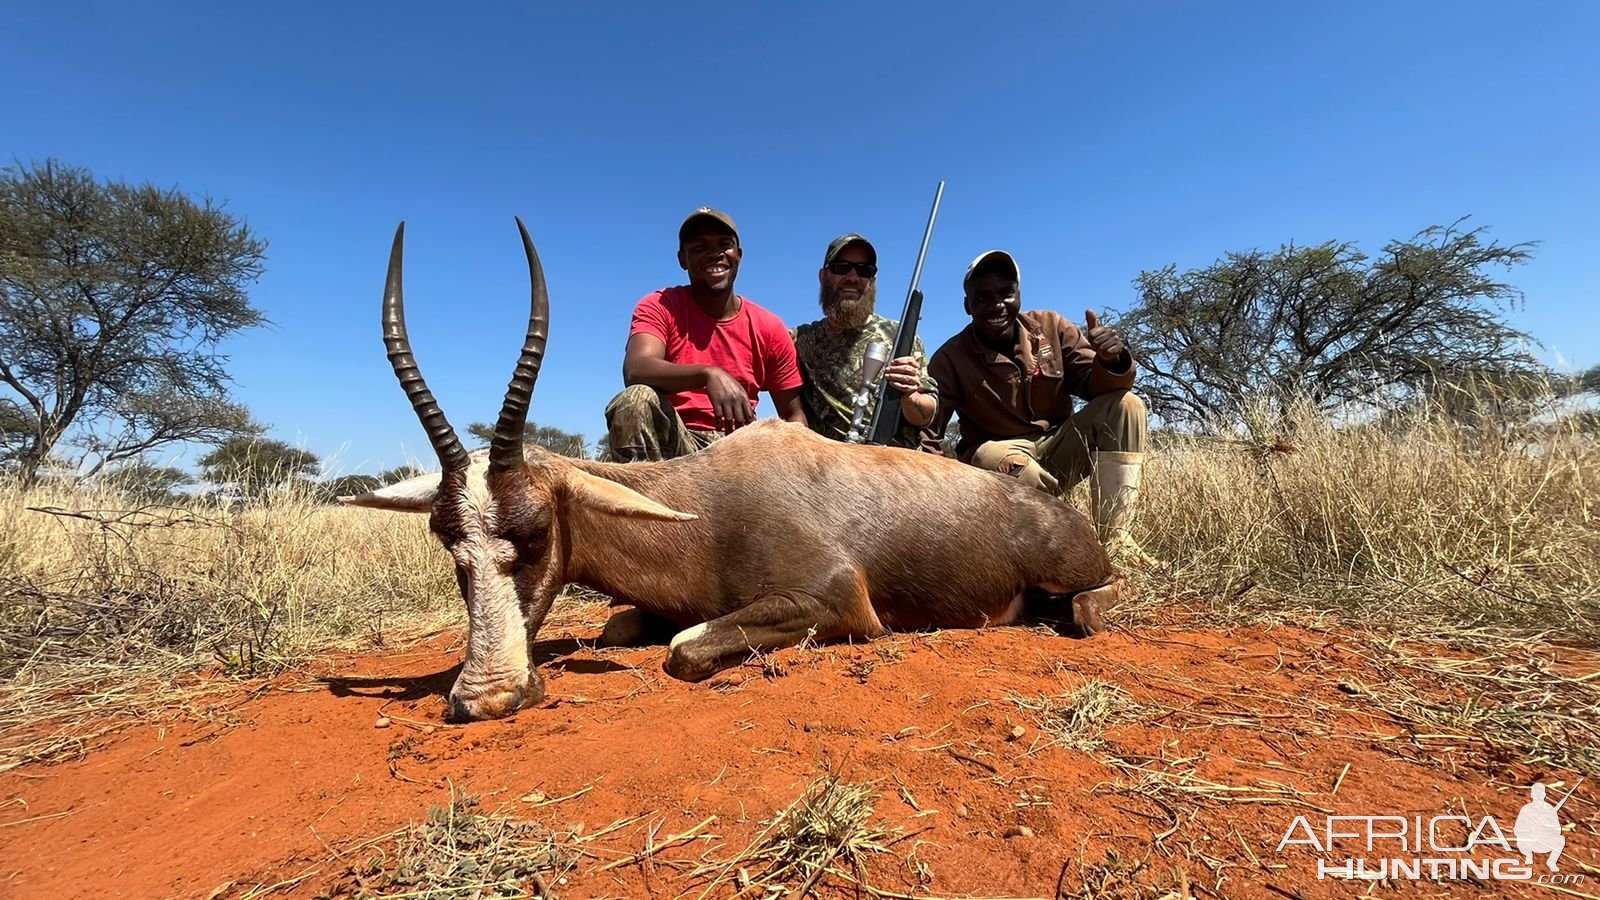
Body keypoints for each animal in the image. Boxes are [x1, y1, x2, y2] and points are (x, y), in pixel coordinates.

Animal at [344, 217, 1126, 720]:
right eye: (449, 540)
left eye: (535, 533)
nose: (483, 698)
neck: (706, 506)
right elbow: (621, 629)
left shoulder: (840, 601)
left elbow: (684, 647)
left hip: (1076, 577)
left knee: (1092, 603)